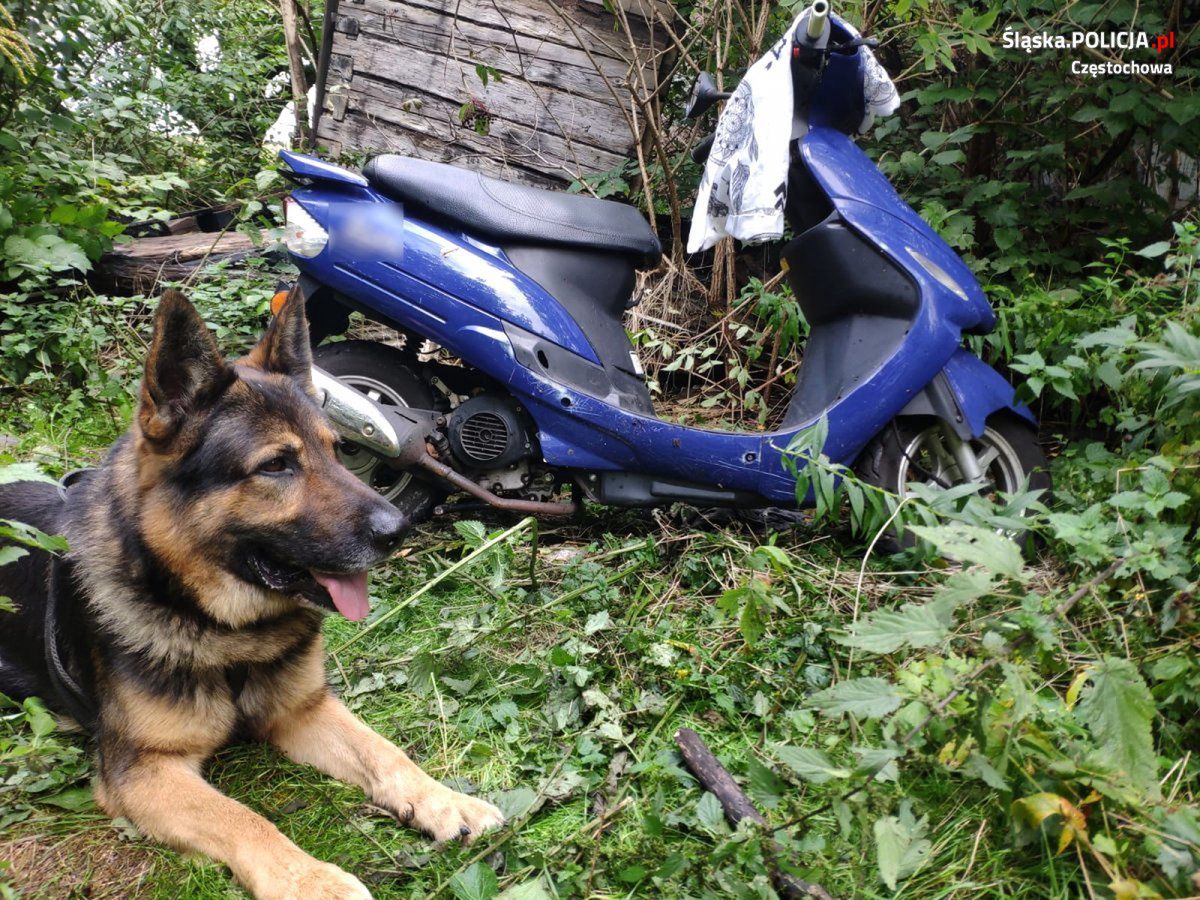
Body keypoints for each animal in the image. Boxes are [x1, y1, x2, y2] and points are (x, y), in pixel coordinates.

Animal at [0, 292, 504, 897]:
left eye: (338, 451)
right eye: (276, 465)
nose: (397, 532)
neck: (224, 630)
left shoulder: (303, 711)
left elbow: (384, 751)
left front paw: (444, 799)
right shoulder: (143, 770)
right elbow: (241, 817)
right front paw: (311, 880)